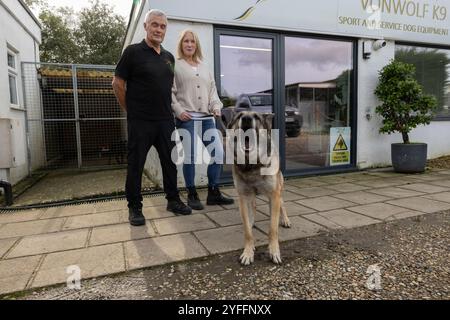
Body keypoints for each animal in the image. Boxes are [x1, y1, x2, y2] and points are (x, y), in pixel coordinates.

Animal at [229, 110, 292, 264]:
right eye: (239, 115)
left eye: (256, 116)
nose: (246, 119)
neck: (251, 165)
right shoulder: (243, 197)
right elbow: (247, 231)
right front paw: (248, 252)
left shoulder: (274, 195)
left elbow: (272, 229)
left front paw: (274, 251)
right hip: (251, 196)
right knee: (253, 208)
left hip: (278, 190)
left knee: (282, 205)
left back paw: (285, 220)